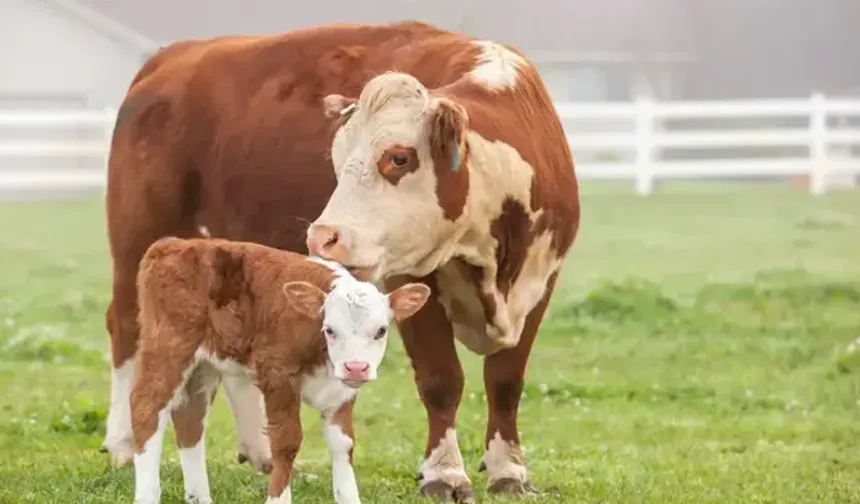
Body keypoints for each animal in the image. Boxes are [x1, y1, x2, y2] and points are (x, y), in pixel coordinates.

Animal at [131, 236, 434, 504]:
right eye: (330, 330)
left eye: (381, 330)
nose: (356, 368)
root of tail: (173, 244)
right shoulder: (278, 375)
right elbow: (286, 443)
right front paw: (277, 499)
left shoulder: (341, 390)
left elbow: (343, 444)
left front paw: (349, 498)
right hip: (168, 347)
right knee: (146, 410)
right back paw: (147, 496)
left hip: (204, 364)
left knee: (190, 418)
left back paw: (200, 498)